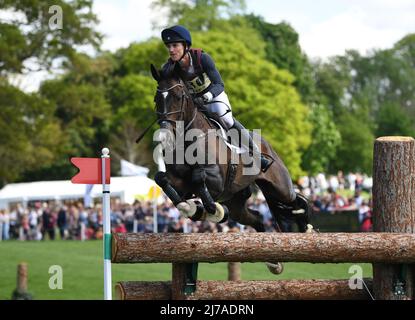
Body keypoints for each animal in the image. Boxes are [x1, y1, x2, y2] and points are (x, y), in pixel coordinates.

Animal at [148, 63, 314, 274]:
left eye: (178, 97)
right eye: (156, 99)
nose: (164, 137)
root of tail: (269, 146)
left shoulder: (217, 182)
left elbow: (198, 177)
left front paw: (211, 210)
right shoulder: (180, 184)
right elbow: (162, 179)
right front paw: (191, 208)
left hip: (279, 187)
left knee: (296, 199)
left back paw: (306, 228)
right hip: (237, 204)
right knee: (258, 218)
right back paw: (273, 262)